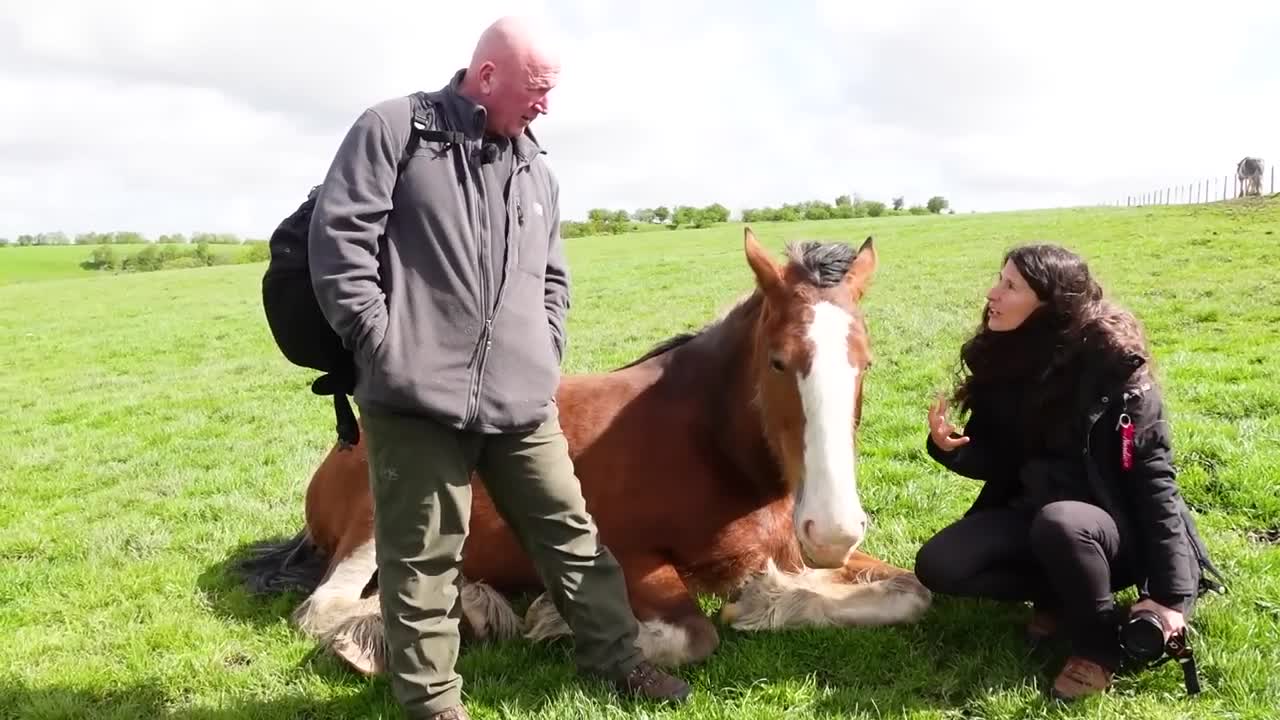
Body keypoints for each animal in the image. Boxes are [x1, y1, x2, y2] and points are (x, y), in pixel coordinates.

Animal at [238, 228, 931, 671]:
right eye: (780, 361)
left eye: (866, 362)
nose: (833, 530)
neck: (710, 445)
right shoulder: (628, 557)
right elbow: (693, 634)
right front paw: (557, 621)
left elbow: (912, 592)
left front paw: (771, 601)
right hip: (377, 523)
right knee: (325, 607)